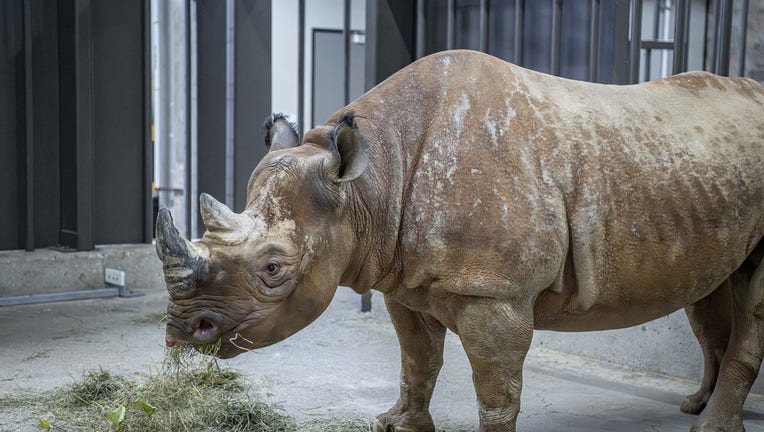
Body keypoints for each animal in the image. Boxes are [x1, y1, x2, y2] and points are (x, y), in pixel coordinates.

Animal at [156, 50, 764, 431]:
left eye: (273, 268)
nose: (181, 331)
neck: (371, 187)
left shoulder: (494, 292)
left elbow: (496, 387)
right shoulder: (400, 275)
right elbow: (417, 358)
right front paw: (398, 424)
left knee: (750, 302)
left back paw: (711, 427)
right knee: (709, 289)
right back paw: (694, 406)